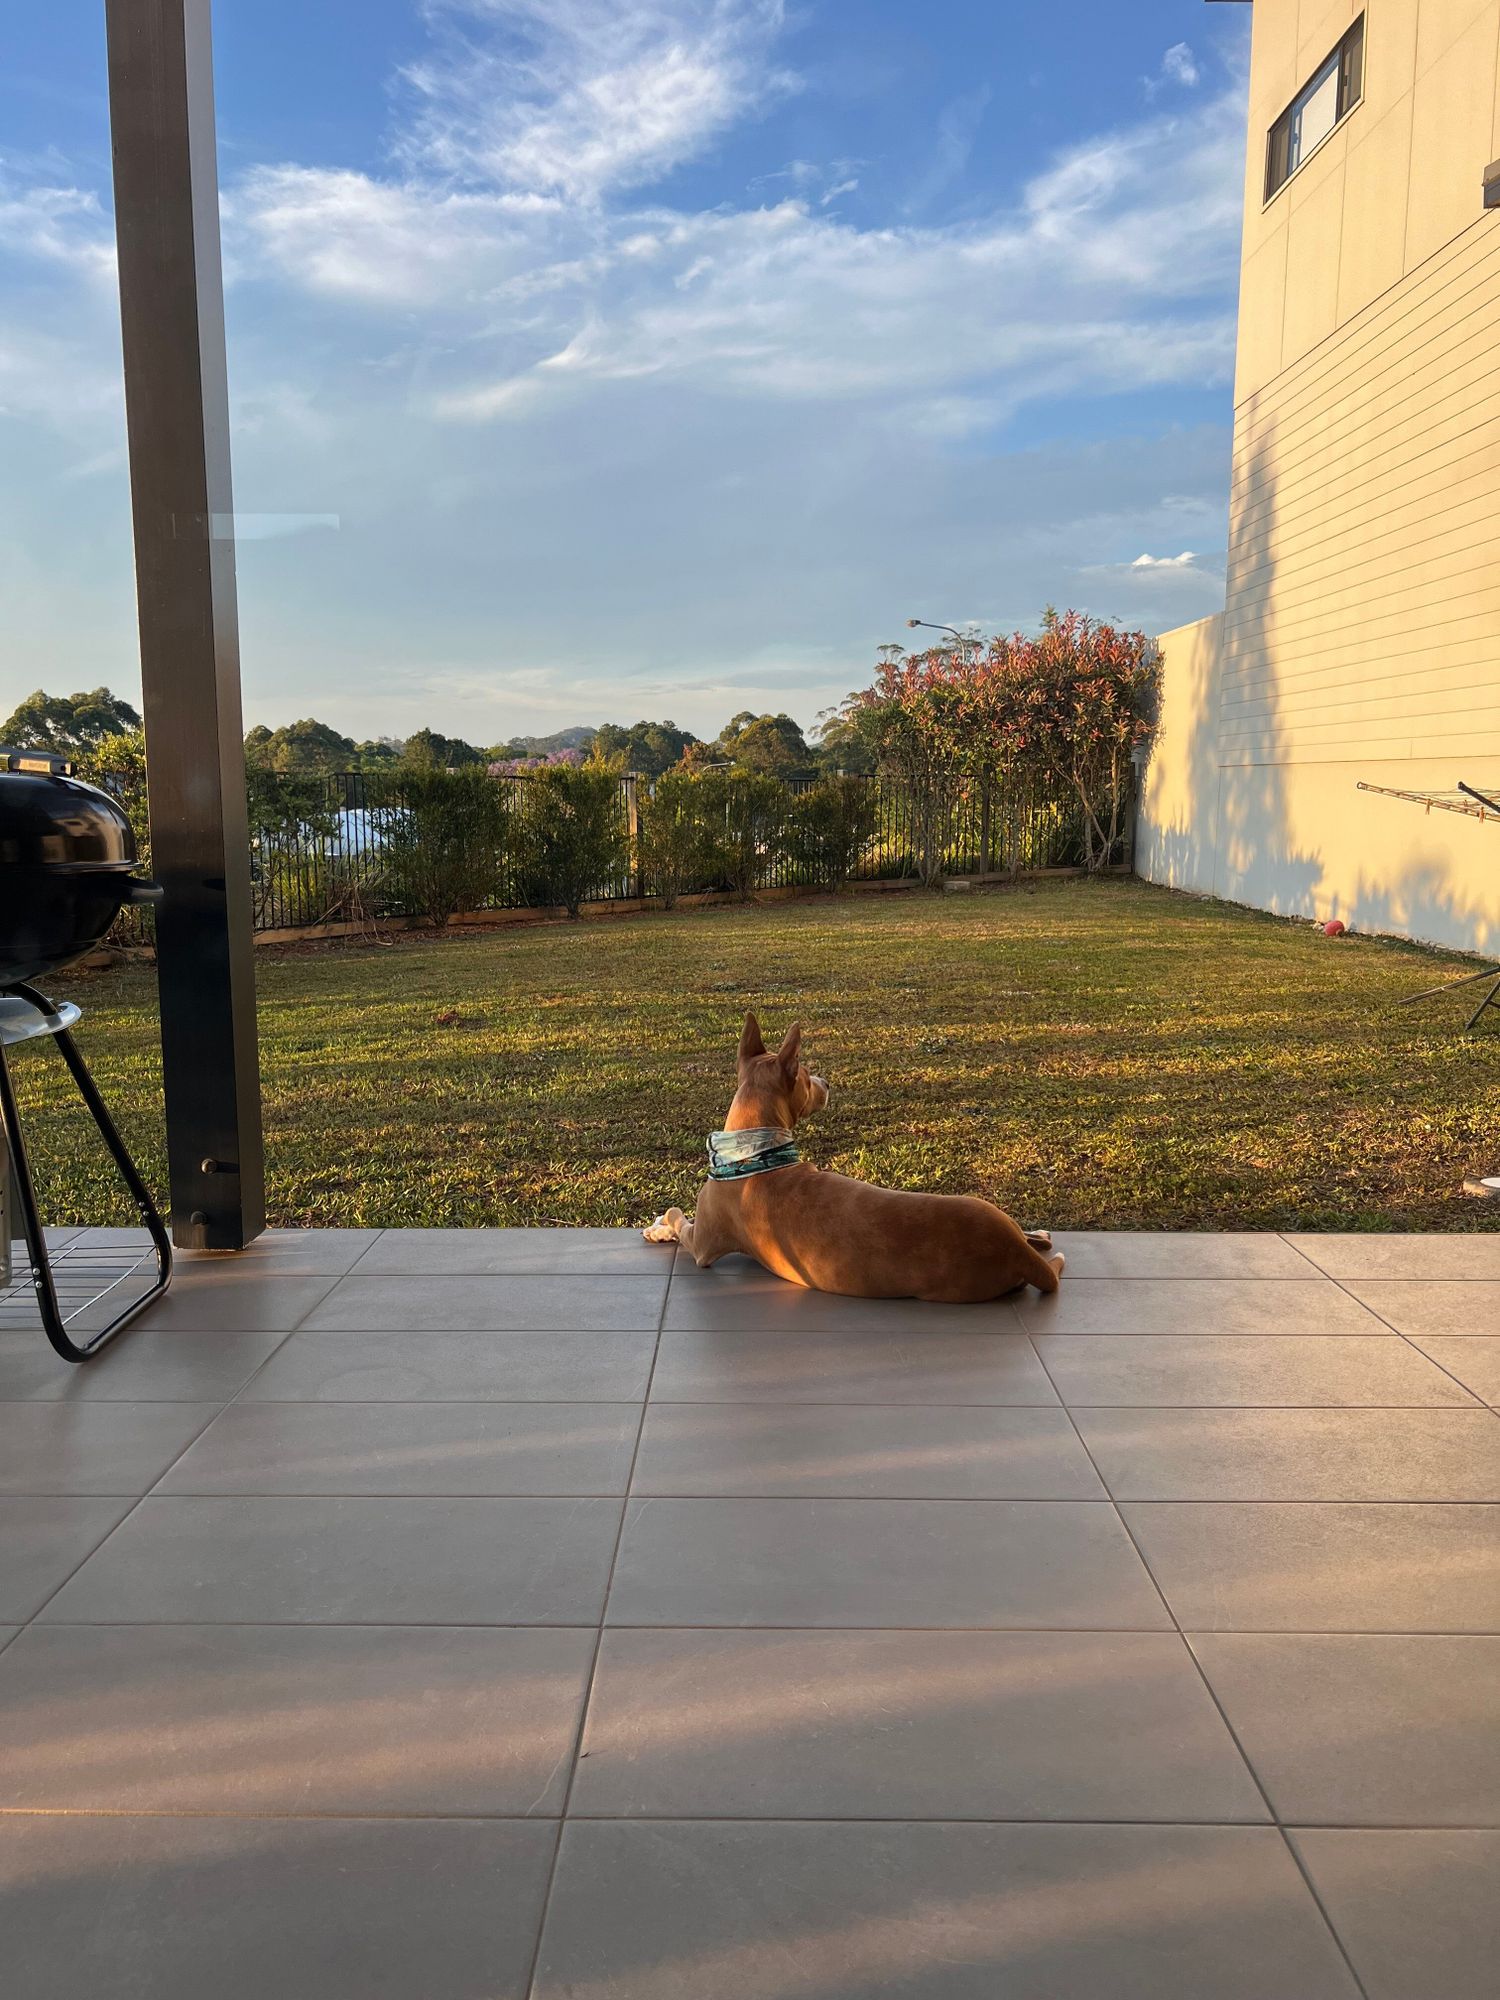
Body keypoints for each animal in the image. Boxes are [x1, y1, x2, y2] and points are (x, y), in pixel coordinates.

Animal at [644, 1013, 1064, 1302]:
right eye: (807, 1076)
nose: (827, 1082)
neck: (758, 1151)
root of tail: (1015, 1250)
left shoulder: (704, 1245)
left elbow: (680, 1218)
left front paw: (659, 1225)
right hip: (985, 1208)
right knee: (1039, 1243)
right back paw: (1040, 1233)